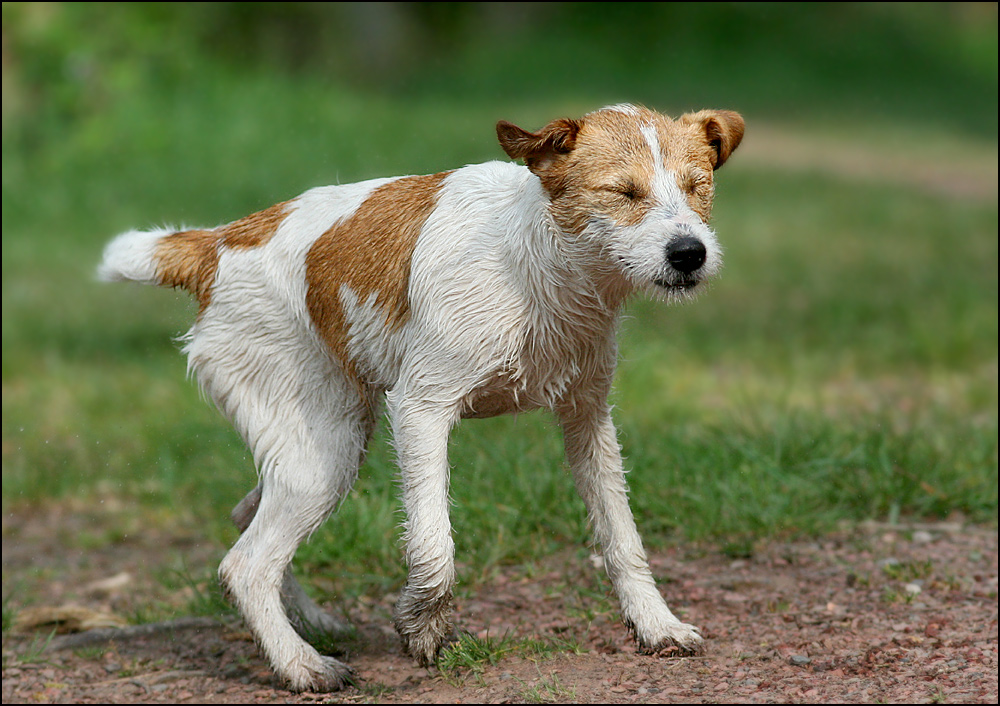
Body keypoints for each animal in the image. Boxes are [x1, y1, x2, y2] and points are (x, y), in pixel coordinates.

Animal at [99, 103, 744, 688]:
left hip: (322, 448)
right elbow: (436, 547)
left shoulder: (587, 421)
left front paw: (656, 625)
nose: (690, 253)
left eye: (697, 186)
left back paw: (314, 625)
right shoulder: (421, 410)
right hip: (323, 457)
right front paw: (423, 626)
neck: (535, 261)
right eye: (624, 192)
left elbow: (622, 538)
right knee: (245, 565)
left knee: (246, 518)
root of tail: (215, 245)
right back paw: (301, 665)